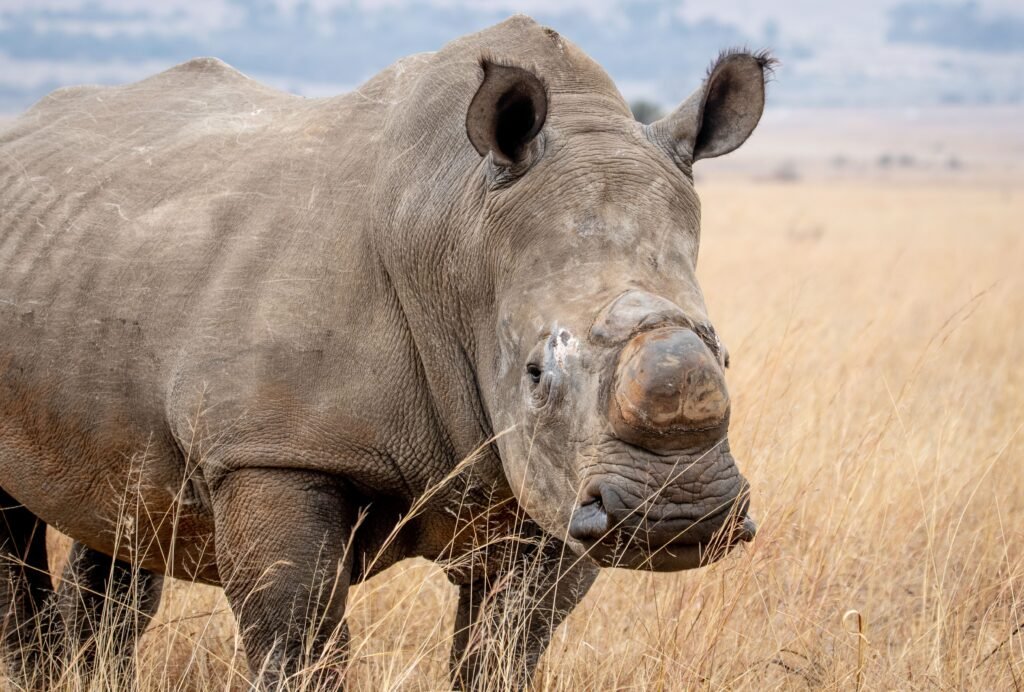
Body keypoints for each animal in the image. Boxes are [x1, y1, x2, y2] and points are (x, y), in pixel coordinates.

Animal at [0, 15, 771, 689]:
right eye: (535, 375)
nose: (679, 513)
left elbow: (507, 646)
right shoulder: (270, 449)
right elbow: (299, 638)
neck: (461, 234)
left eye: (725, 356)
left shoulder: (556, 484)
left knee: (122, 523)